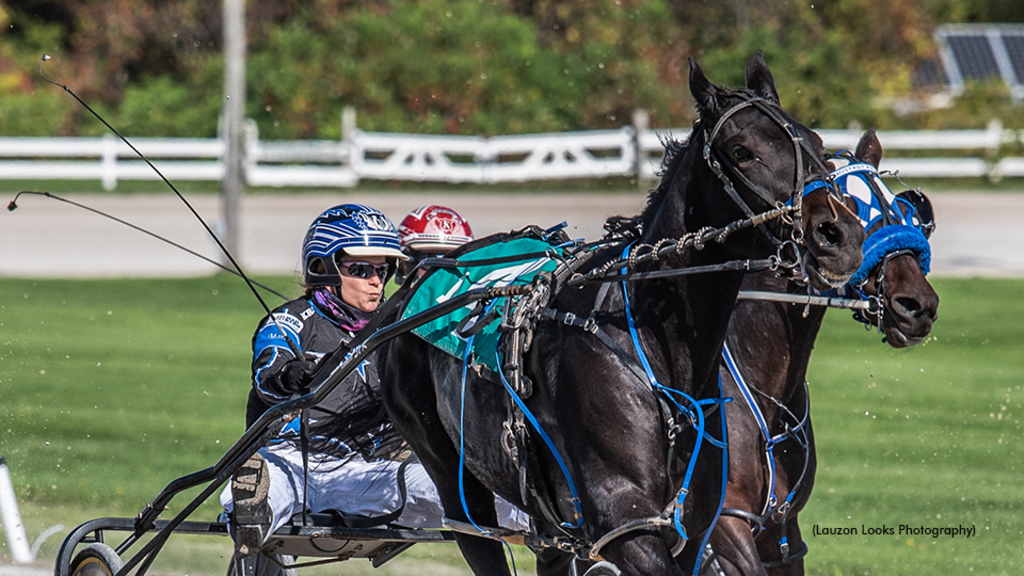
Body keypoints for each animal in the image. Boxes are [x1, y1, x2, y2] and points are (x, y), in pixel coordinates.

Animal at [376, 50, 864, 573]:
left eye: (816, 143)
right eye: (741, 151)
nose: (839, 236)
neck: (657, 347)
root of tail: (415, 284)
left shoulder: (699, 523)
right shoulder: (626, 521)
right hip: (448, 467)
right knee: (474, 529)